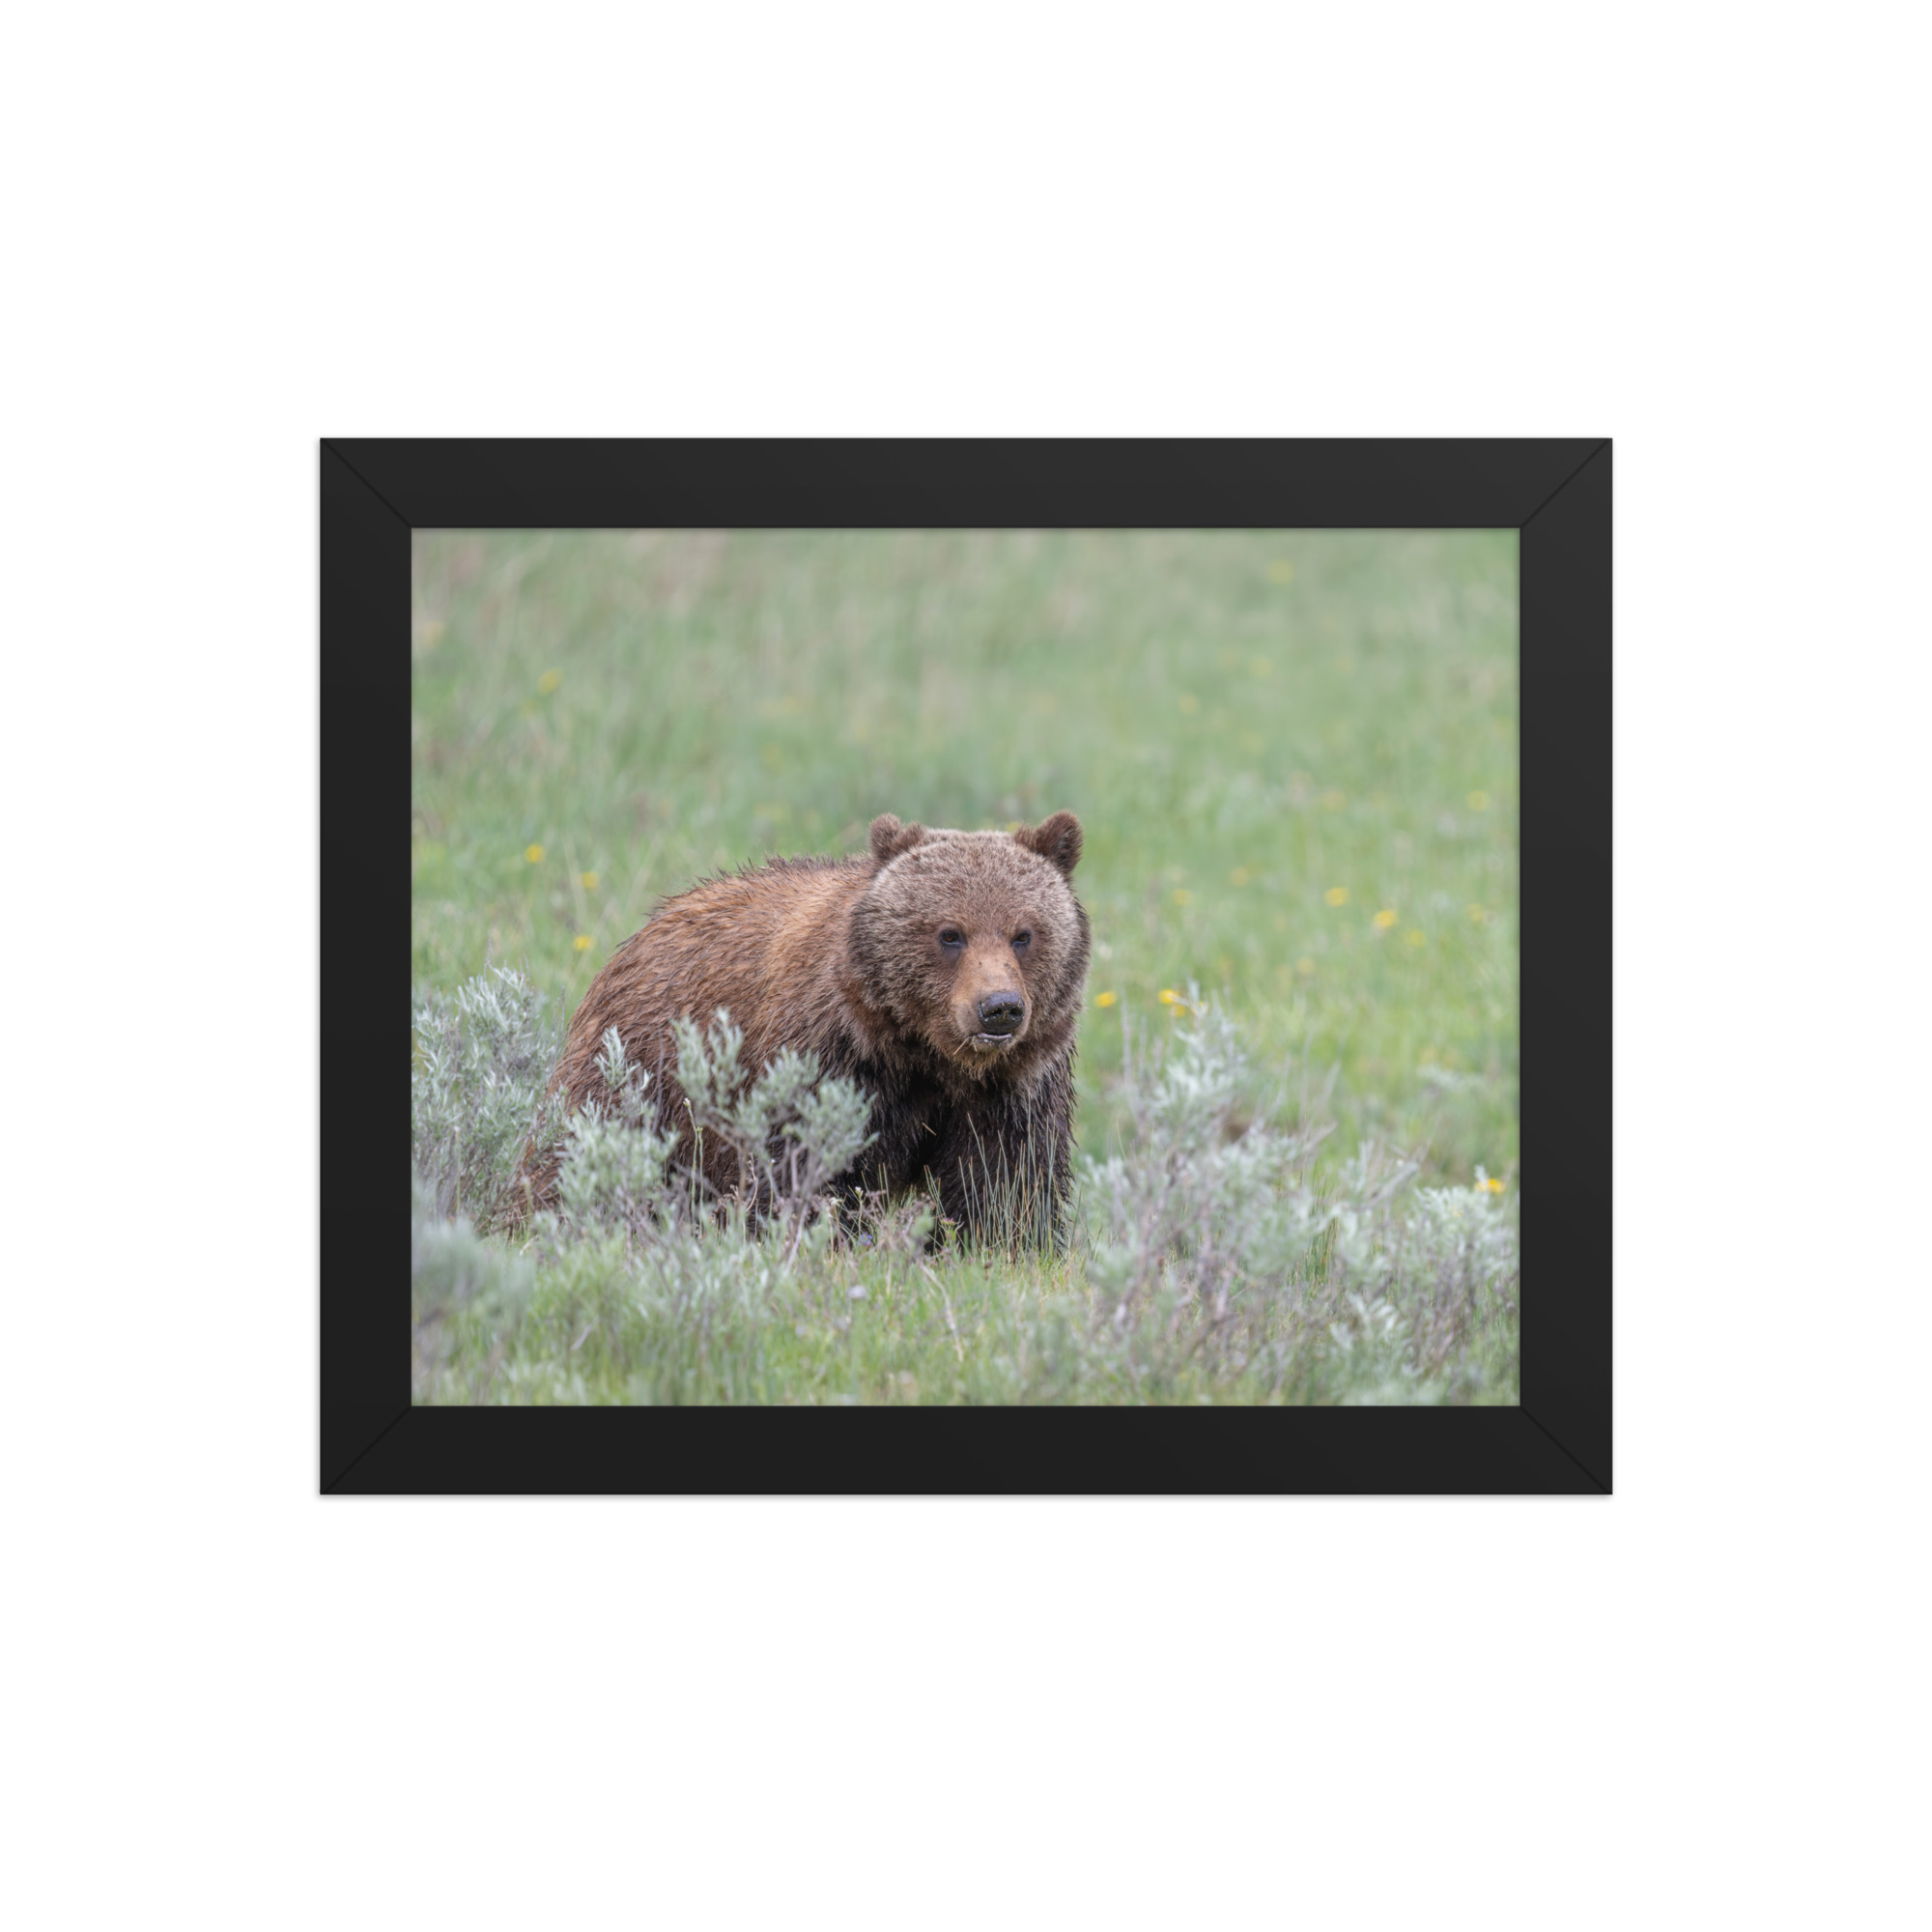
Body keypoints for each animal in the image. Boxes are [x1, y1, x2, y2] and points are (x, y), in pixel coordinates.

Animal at [522, 810, 1090, 1244]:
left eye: (1023, 934)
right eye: (950, 933)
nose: (999, 1008)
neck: (926, 1054)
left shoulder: (1013, 1087)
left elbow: (1004, 1184)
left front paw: (997, 1246)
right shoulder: (829, 1060)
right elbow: (801, 1168)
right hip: (638, 1071)